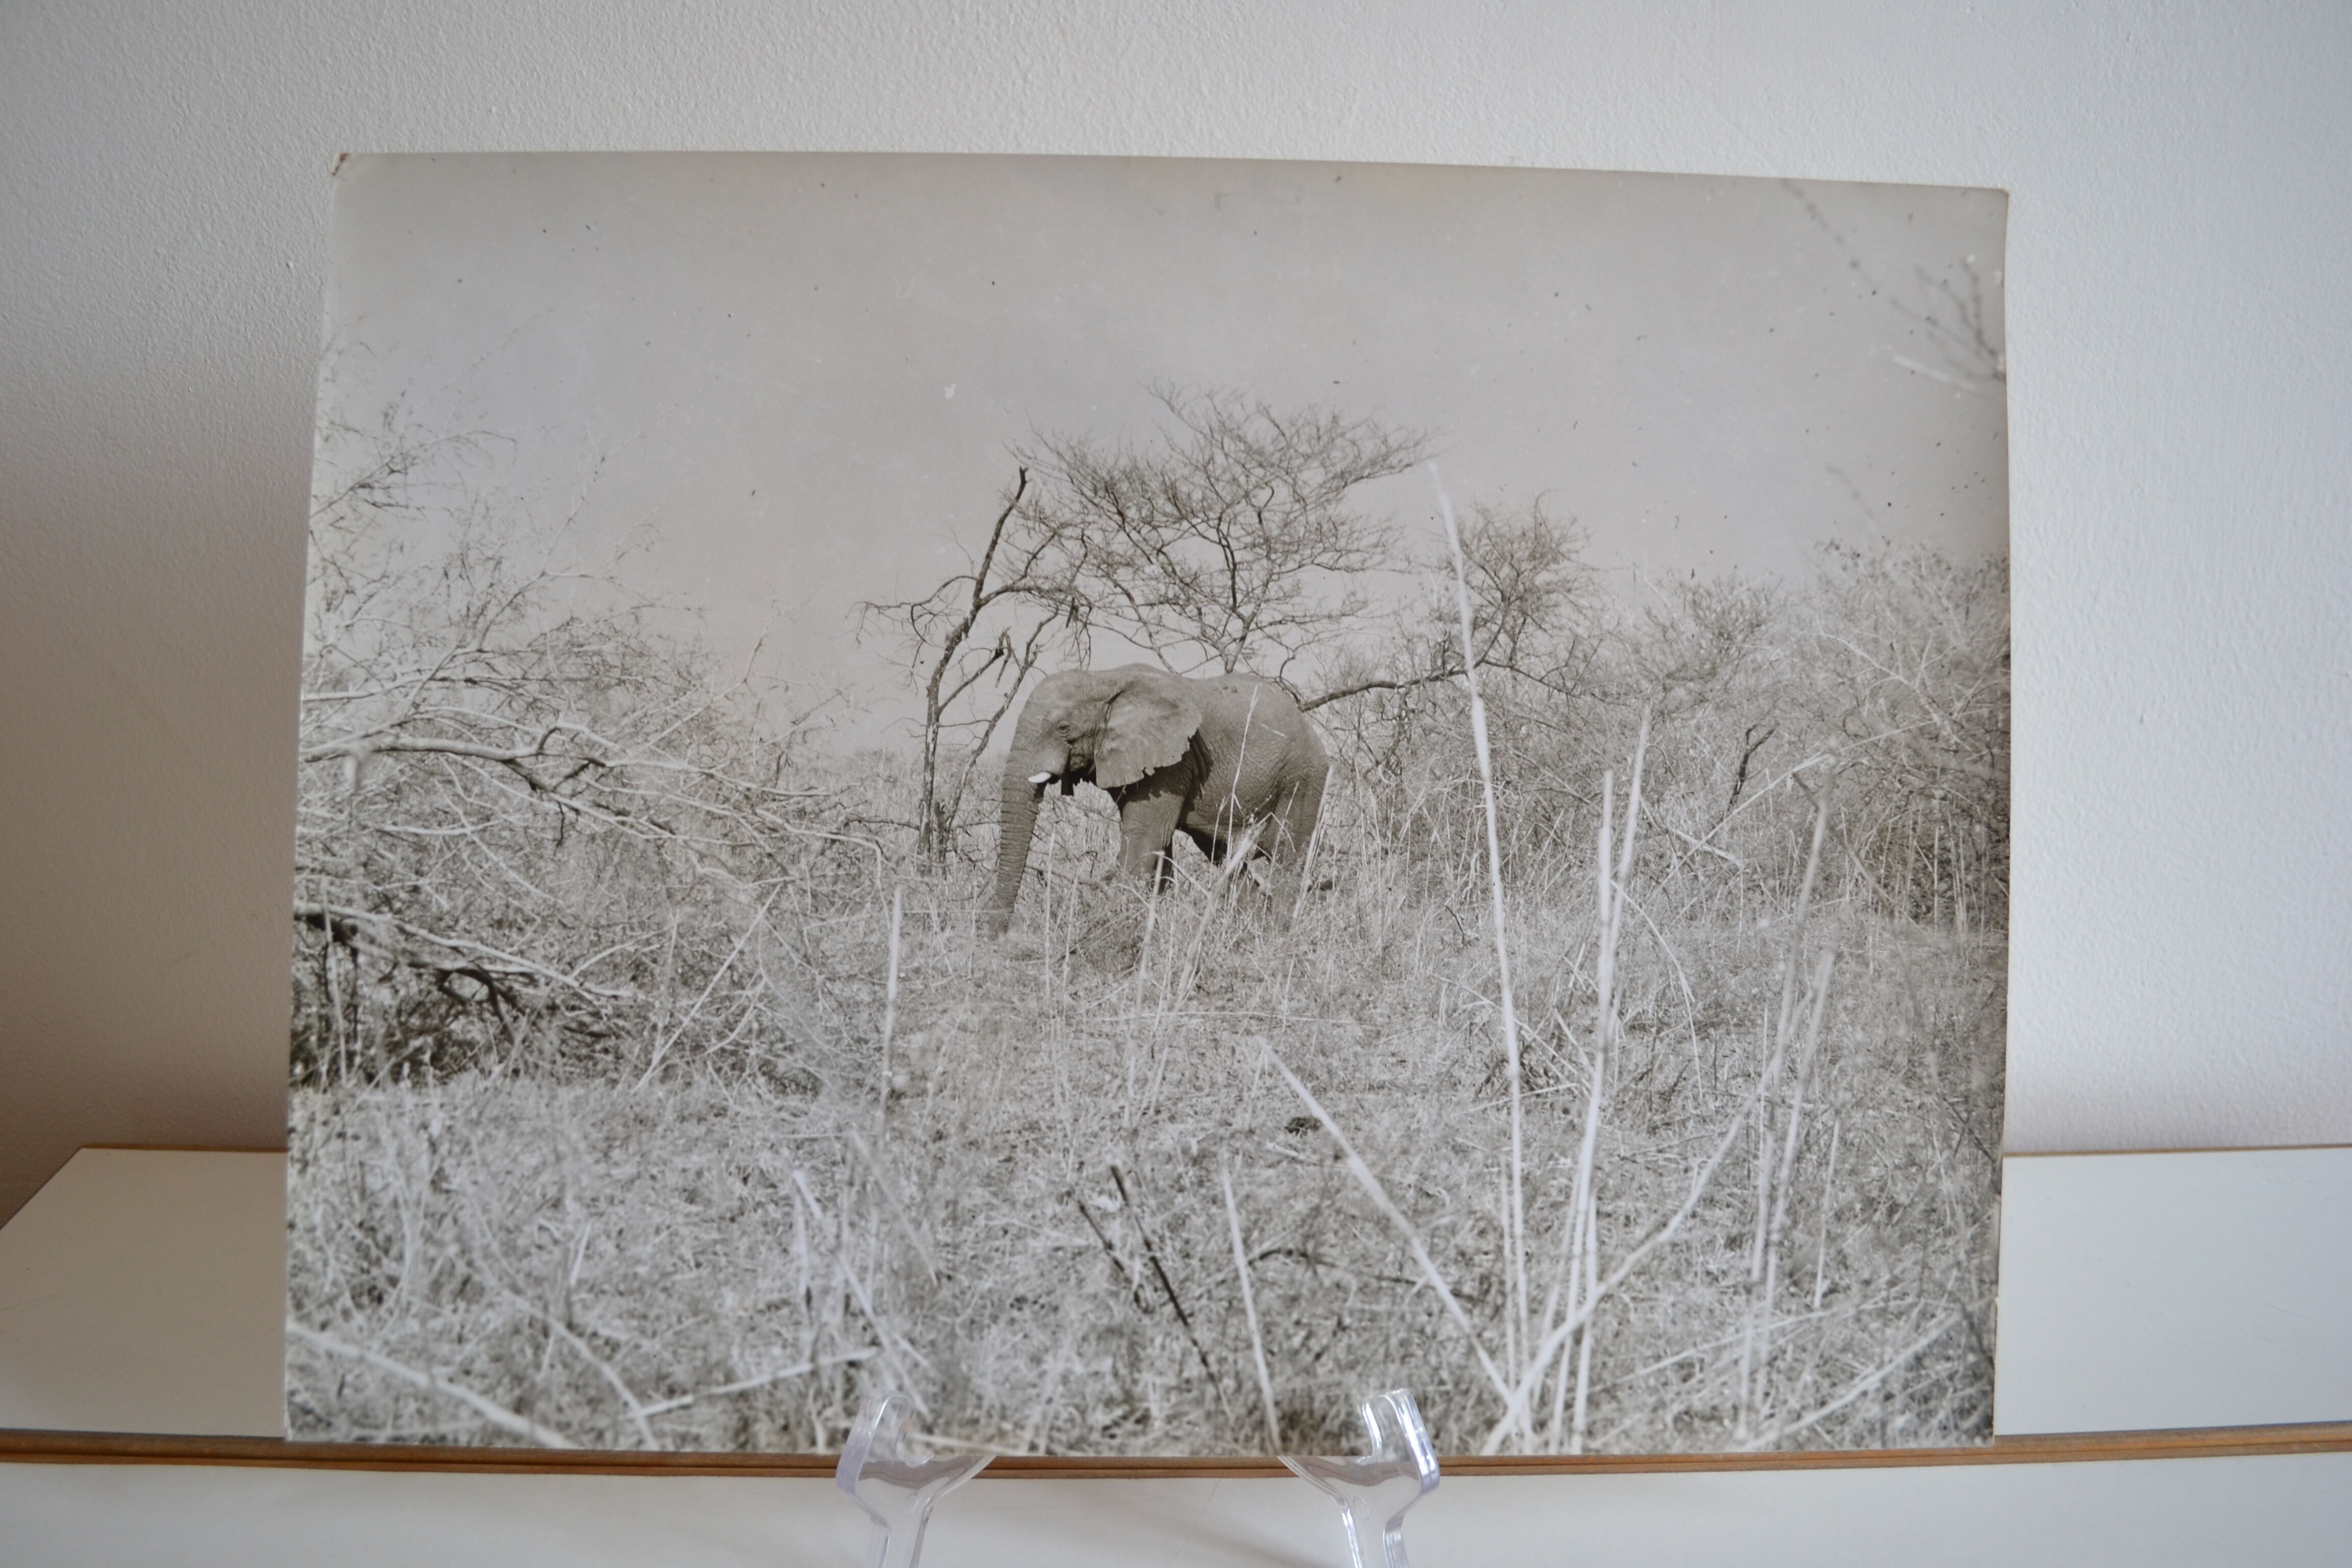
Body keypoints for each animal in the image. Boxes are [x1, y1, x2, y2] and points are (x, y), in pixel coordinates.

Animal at [985, 664, 1329, 936]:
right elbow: (1158, 847)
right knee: (1226, 857)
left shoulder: (1173, 764)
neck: (1104, 679)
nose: (998, 938)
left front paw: (1113, 929)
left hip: (1303, 780)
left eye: (1063, 728)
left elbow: (1144, 839)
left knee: (1288, 857)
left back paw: (1278, 935)